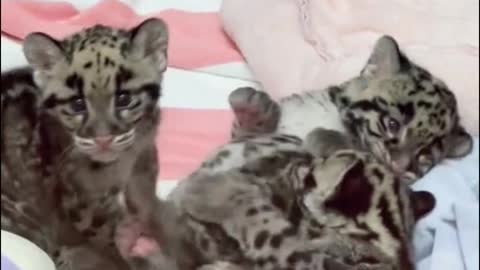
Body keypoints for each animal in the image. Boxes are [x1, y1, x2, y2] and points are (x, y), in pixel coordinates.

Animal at [0, 17, 169, 268]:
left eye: (124, 99)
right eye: (77, 104)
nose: (103, 139)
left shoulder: (145, 153)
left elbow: (144, 198)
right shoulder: (81, 201)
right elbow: (106, 239)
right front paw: (125, 259)